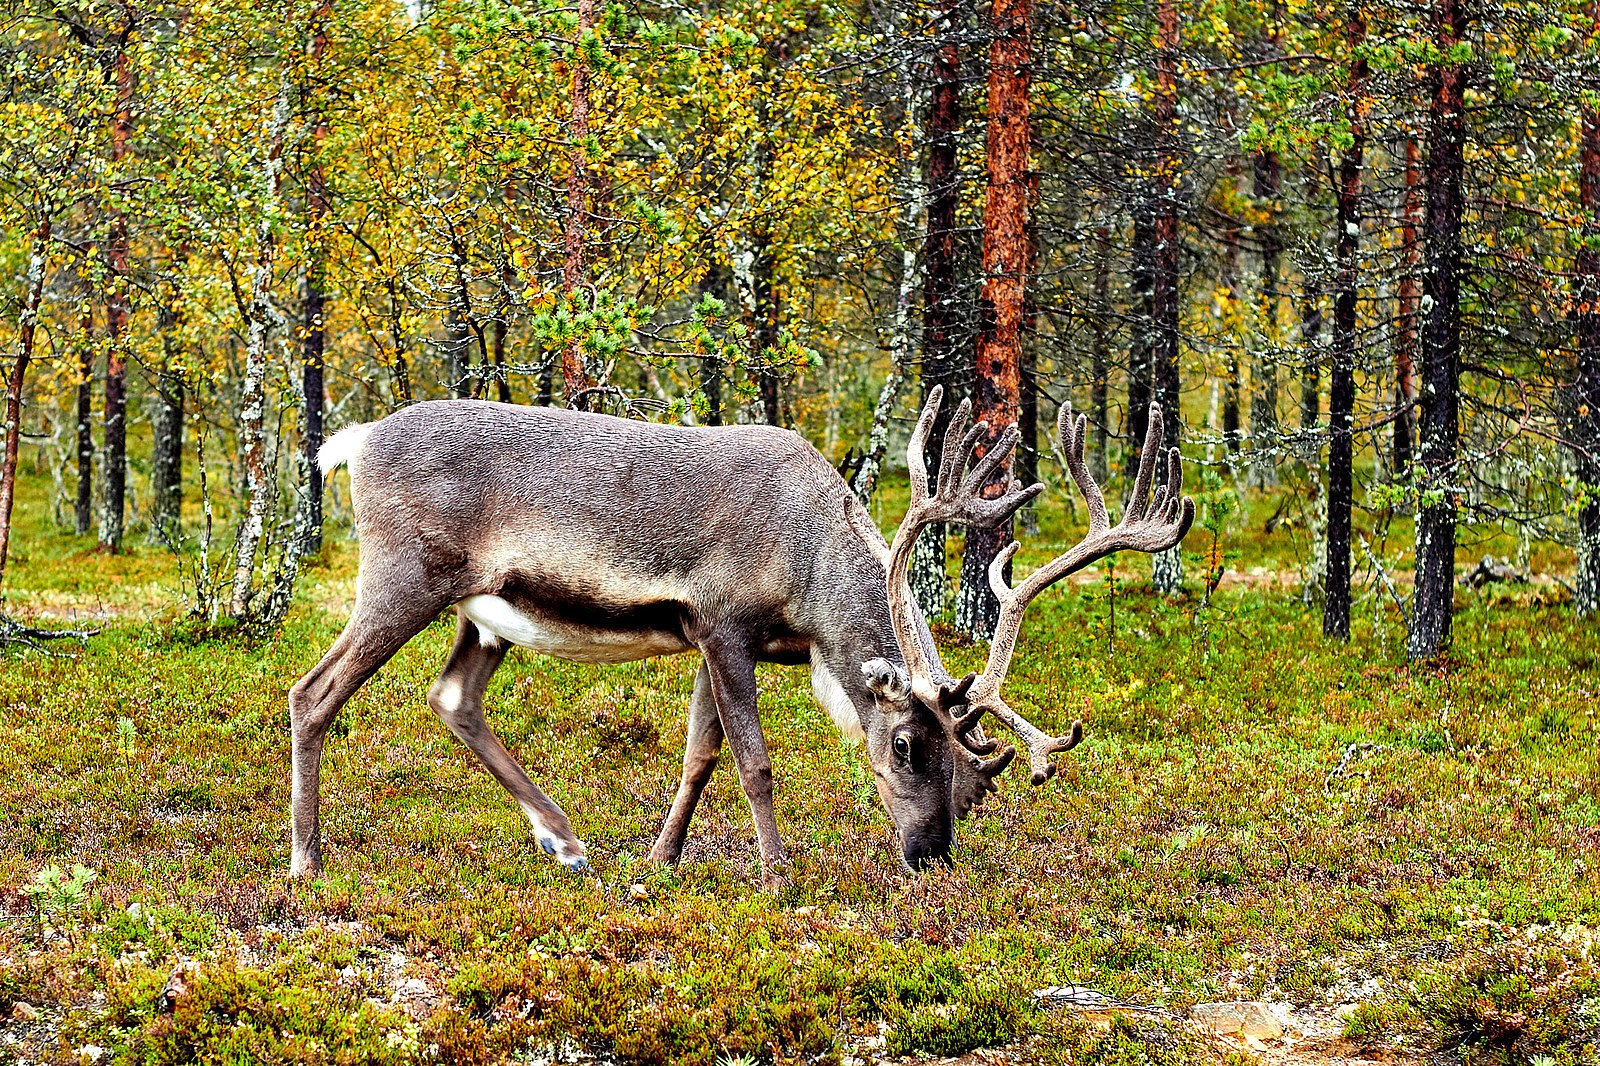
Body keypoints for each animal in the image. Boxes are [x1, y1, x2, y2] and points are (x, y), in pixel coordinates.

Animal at [291, 385, 1190, 883]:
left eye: (977, 778)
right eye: (904, 744)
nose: (931, 853)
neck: (809, 578)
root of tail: (353, 443)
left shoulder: (711, 639)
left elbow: (699, 755)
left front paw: (661, 860)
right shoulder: (723, 623)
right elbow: (753, 762)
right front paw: (778, 874)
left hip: (486, 611)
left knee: (453, 698)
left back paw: (567, 839)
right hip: (403, 576)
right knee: (311, 692)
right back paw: (308, 860)